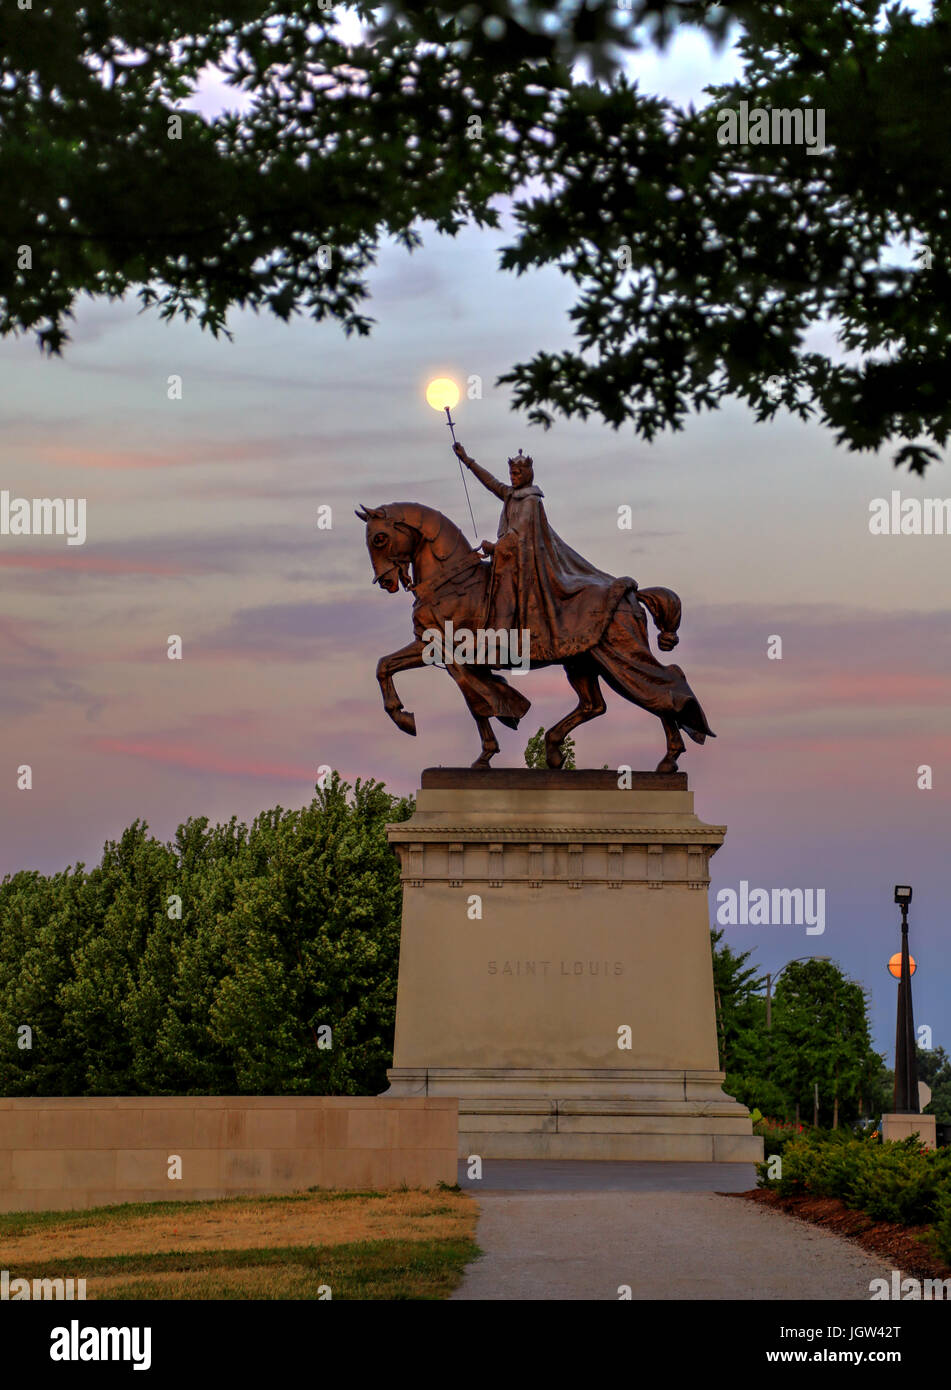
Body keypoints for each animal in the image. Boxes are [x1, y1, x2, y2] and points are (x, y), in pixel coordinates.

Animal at [355, 500, 711, 772]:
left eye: (379, 538)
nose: (385, 581)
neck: (450, 581)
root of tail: (632, 593)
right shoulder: (432, 646)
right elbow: (385, 665)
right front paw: (405, 718)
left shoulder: (450, 650)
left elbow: (478, 700)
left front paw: (481, 751)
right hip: (582, 663)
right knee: (596, 704)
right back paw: (555, 749)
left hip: (616, 653)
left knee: (662, 685)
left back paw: (669, 758)